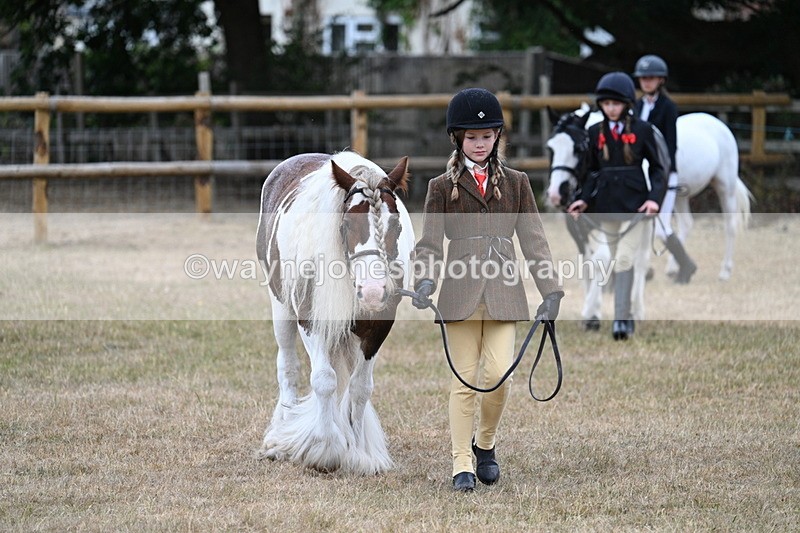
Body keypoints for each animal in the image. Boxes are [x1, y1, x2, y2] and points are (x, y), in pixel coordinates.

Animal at [255, 151, 415, 475]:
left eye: (395, 225)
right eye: (347, 226)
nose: (373, 290)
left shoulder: (378, 327)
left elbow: (360, 387)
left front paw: (360, 454)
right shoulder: (310, 320)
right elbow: (324, 380)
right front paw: (325, 449)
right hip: (281, 309)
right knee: (288, 367)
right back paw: (283, 432)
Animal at [545, 104, 752, 323]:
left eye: (579, 149)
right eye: (550, 148)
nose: (557, 193)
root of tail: (717, 122)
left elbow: (602, 259)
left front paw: (595, 308)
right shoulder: (578, 227)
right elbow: (587, 263)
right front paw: (591, 306)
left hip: (724, 186)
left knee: (728, 226)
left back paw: (722, 271)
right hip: (679, 197)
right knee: (684, 224)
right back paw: (677, 270)